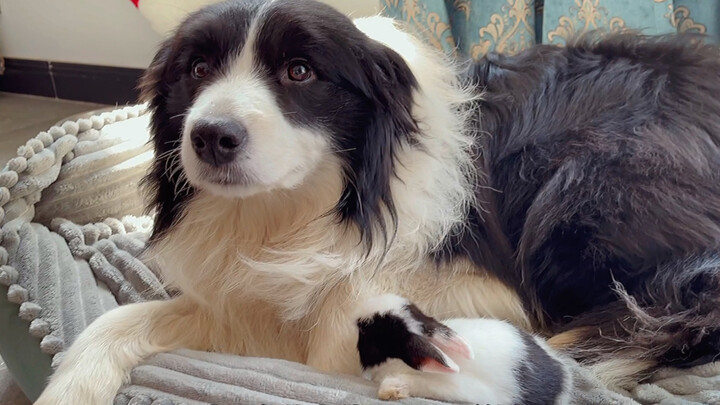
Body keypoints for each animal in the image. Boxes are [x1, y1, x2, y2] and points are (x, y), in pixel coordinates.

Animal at [38, 1, 720, 402]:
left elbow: (337, 332)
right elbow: (118, 321)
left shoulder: (482, 287)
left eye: (300, 71)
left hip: (585, 185)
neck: (304, 210)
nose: (209, 137)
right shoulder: (243, 290)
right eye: (198, 68)